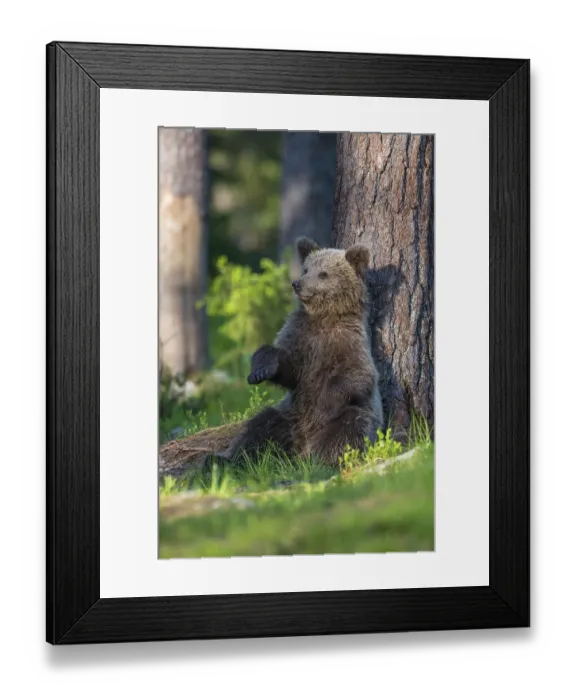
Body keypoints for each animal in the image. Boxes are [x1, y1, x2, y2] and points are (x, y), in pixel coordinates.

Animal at [216, 236, 383, 468]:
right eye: (306, 269)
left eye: (323, 273)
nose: (297, 284)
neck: (325, 318)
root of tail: (301, 445)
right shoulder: (300, 335)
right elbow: (287, 367)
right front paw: (260, 370)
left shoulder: (348, 341)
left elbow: (356, 375)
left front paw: (326, 404)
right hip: (289, 415)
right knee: (261, 426)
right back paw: (228, 459)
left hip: (344, 418)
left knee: (348, 428)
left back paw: (319, 460)